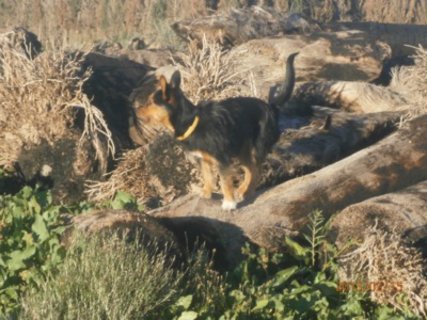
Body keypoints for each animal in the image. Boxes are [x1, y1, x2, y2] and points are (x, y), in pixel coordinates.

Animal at [130, 53, 298, 210]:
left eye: (151, 102)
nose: (135, 111)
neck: (190, 121)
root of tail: (270, 106)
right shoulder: (204, 160)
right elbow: (208, 177)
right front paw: (206, 193)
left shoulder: (222, 160)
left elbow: (224, 181)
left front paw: (228, 203)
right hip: (242, 149)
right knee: (250, 168)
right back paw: (243, 190)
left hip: (258, 146)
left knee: (256, 170)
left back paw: (244, 191)